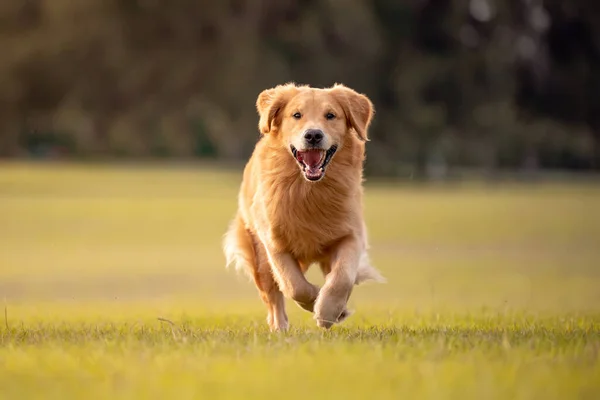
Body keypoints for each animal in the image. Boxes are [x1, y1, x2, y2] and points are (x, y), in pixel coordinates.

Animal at [224, 82, 384, 332]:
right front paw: (318, 301)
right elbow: (294, 286)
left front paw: (329, 311)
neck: (308, 189)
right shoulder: (273, 241)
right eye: (296, 115)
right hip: (258, 256)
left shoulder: (351, 234)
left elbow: (342, 278)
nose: (313, 135)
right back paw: (279, 328)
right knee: (273, 297)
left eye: (331, 115)